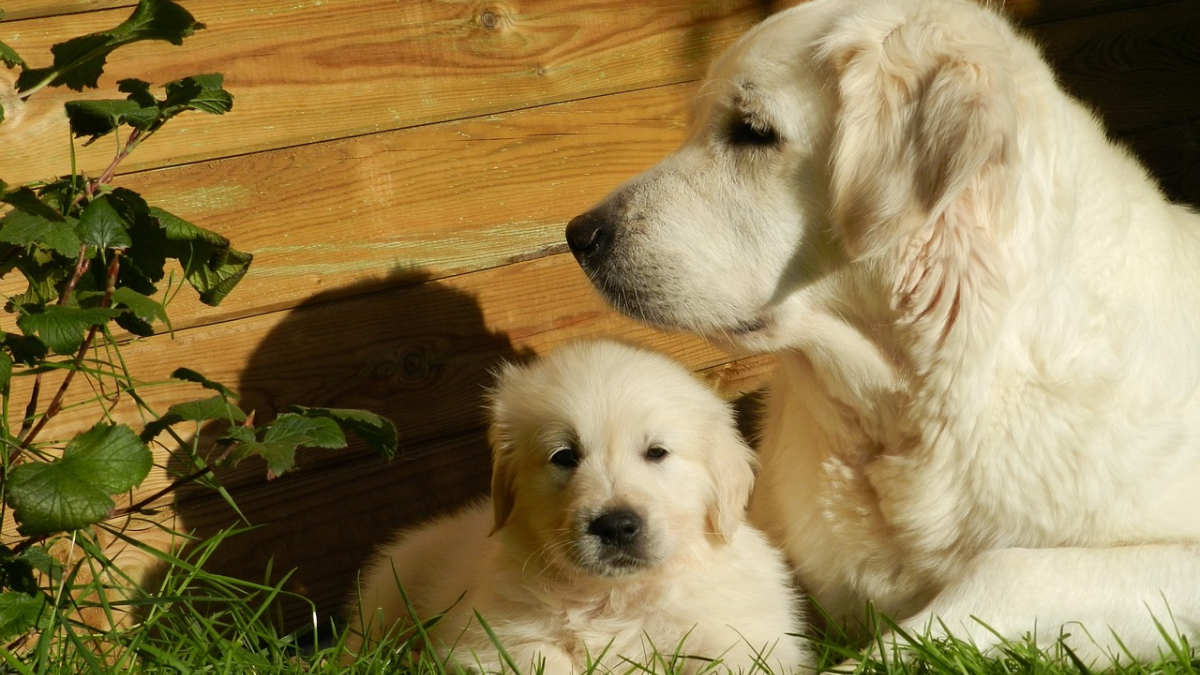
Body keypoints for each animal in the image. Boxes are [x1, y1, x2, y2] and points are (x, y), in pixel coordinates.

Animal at [350, 338, 811, 672]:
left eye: (657, 452)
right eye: (565, 456)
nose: (617, 526)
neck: (614, 597)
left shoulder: (746, 636)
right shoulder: (489, 639)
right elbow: (544, 660)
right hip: (387, 587)